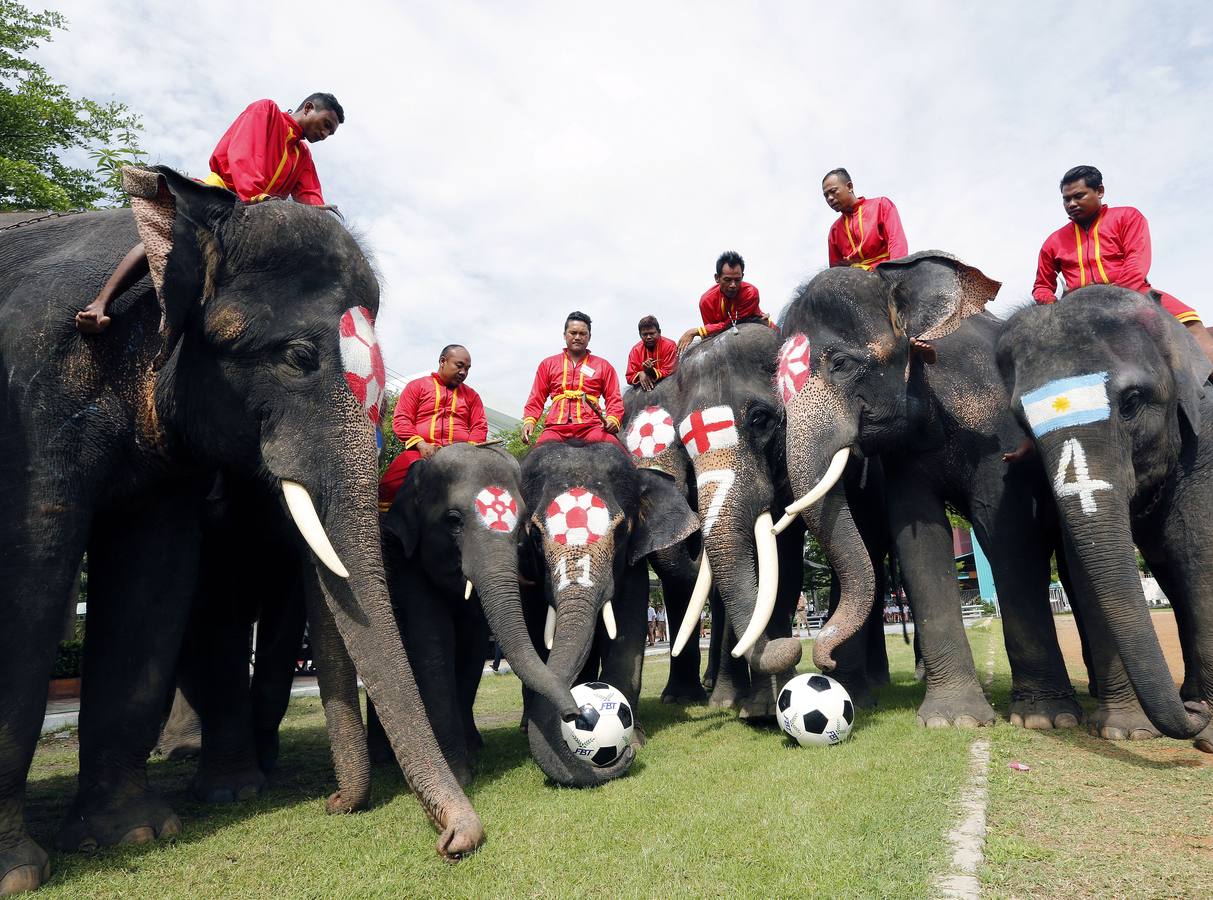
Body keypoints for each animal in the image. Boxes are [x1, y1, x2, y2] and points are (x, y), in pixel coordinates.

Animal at [0, 167, 481, 894]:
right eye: (298, 357)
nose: (456, 841)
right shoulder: (33, 391)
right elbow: (37, 569)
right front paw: (21, 874)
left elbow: (156, 580)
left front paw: (135, 833)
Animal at [376, 443, 578, 784]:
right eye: (453, 519)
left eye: (522, 526)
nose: (576, 714)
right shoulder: (406, 562)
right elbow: (432, 645)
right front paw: (458, 773)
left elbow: (472, 648)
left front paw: (471, 753)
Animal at [518, 439, 699, 786]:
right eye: (533, 534)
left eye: (621, 531)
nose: (574, 713)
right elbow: (534, 636)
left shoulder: (632, 566)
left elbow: (628, 627)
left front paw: (636, 742)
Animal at [776, 252, 1083, 729]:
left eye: (841, 364)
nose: (821, 662)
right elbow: (918, 541)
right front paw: (952, 720)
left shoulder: (998, 429)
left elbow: (1006, 532)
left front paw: (1044, 720)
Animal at [997, 287, 1213, 748]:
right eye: (1023, 423)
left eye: (1131, 402)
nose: (1194, 712)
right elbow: (1085, 567)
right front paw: (1125, 731)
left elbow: (1197, 548)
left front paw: (1209, 735)